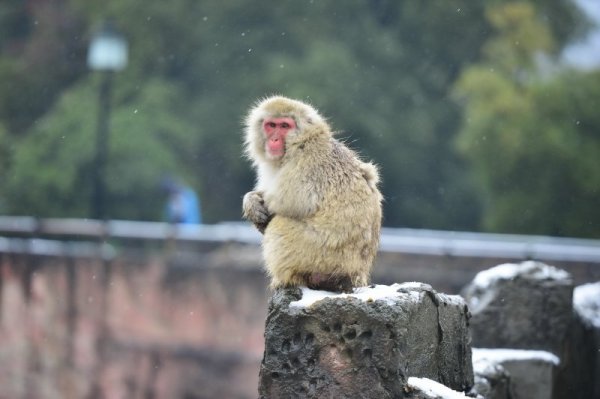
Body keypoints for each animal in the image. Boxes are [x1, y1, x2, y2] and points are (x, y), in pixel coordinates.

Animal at [241, 95, 382, 292]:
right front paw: (251, 202)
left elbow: (288, 203)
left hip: (320, 255)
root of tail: (354, 275)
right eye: (271, 125)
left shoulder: (307, 159)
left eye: (284, 126)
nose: (274, 139)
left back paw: (289, 279)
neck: (298, 142)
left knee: (279, 225)